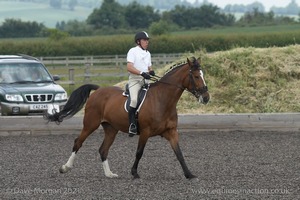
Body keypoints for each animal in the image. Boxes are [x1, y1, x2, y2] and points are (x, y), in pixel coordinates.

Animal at [45, 56, 209, 180]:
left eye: (203, 76)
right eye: (196, 76)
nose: (206, 98)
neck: (162, 100)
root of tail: (98, 90)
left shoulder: (171, 132)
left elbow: (179, 153)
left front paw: (189, 174)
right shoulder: (145, 132)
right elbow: (139, 152)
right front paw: (134, 173)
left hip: (111, 129)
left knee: (103, 149)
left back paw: (109, 174)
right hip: (90, 124)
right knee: (78, 142)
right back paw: (65, 168)